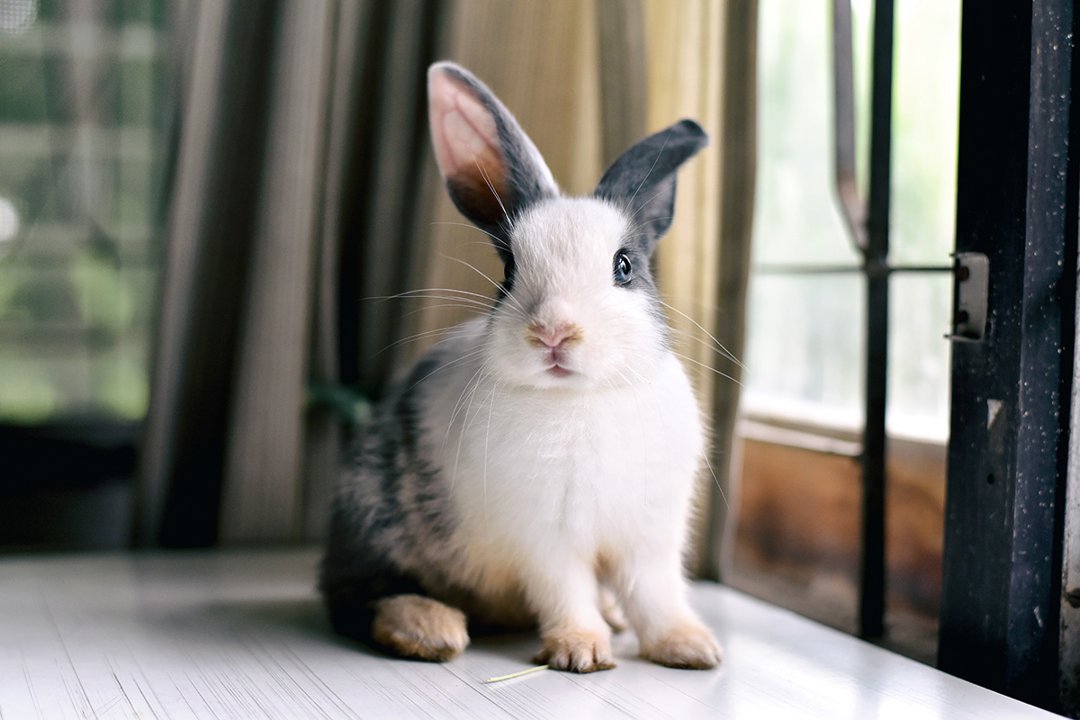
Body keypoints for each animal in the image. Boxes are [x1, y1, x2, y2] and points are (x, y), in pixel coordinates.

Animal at [319, 60, 722, 673]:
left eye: (624, 266)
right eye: (508, 270)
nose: (553, 332)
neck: (582, 399)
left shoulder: (649, 537)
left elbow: (656, 594)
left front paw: (692, 648)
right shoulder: (546, 539)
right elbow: (566, 591)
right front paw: (581, 652)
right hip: (373, 518)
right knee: (355, 595)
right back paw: (430, 628)